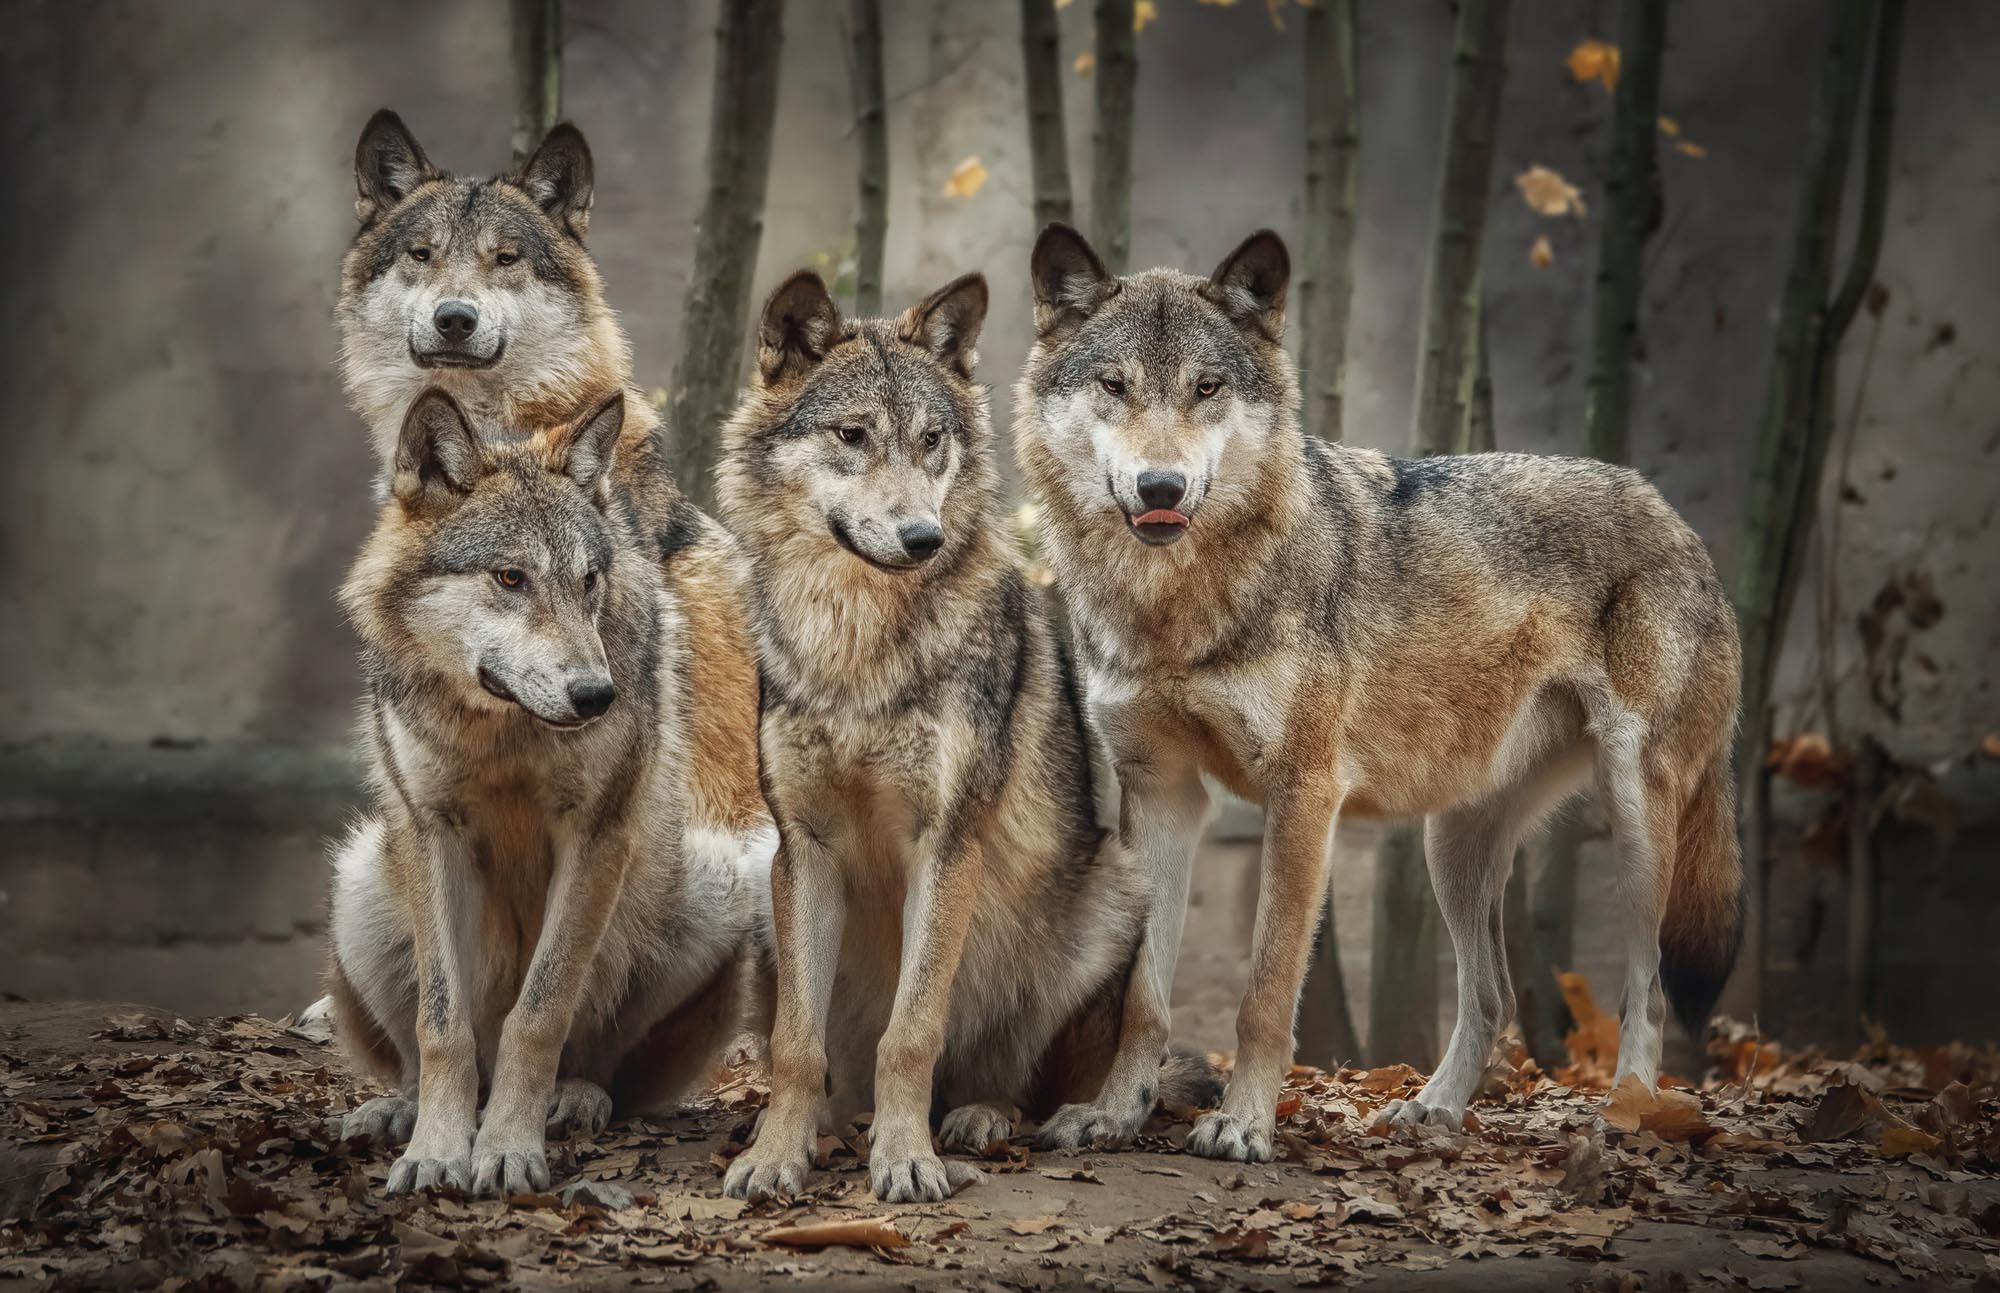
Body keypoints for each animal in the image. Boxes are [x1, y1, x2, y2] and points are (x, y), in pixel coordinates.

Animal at [328, 388, 759, 1197]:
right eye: (509, 578)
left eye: (587, 580)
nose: (596, 694)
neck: (503, 732)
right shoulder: (430, 830)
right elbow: (441, 1024)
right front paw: (436, 1151)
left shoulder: (597, 834)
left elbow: (540, 1012)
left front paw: (505, 1149)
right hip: (362, 875)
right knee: (425, 1050)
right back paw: (400, 1109)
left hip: (718, 881)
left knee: (599, 1065)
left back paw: (573, 1099)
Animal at [714, 271, 1219, 1204]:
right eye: (852, 435)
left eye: (932, 440)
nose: (924, 537)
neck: (859, 650)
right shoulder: (803, 846)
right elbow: (796, 1046)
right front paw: (774, 1155)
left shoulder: (947, 841)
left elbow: (912, 1031)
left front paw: (906, 1159)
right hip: (762, 907)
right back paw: (840, 1125)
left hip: (1110, 895)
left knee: (1011, 1077)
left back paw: (977, 1118)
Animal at [1013, 224, 1744, 1161]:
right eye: (1115, 385)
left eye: (1207, 387)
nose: (1161, 488)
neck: (1173, 606)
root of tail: (1677, 517)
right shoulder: (1163, 794)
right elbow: (1143, 993)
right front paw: (1113, 1113)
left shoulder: (1303, 794)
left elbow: (1265, 991)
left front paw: (1243, 1125)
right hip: (1452, 845)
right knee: (1493, 996)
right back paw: (1434, 1108)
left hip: (1637, 815)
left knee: (1644, 988)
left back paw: (1628, 1111)